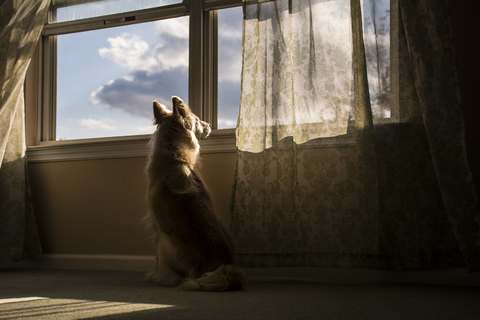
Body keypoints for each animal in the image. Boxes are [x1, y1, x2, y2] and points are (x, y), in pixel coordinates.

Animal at [144, 96, 246, 292]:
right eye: (198, 120)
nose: (210, 124)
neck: (174, 155)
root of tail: (218, 266)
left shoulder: (156, 224)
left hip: (165, 242)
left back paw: (156, 276)